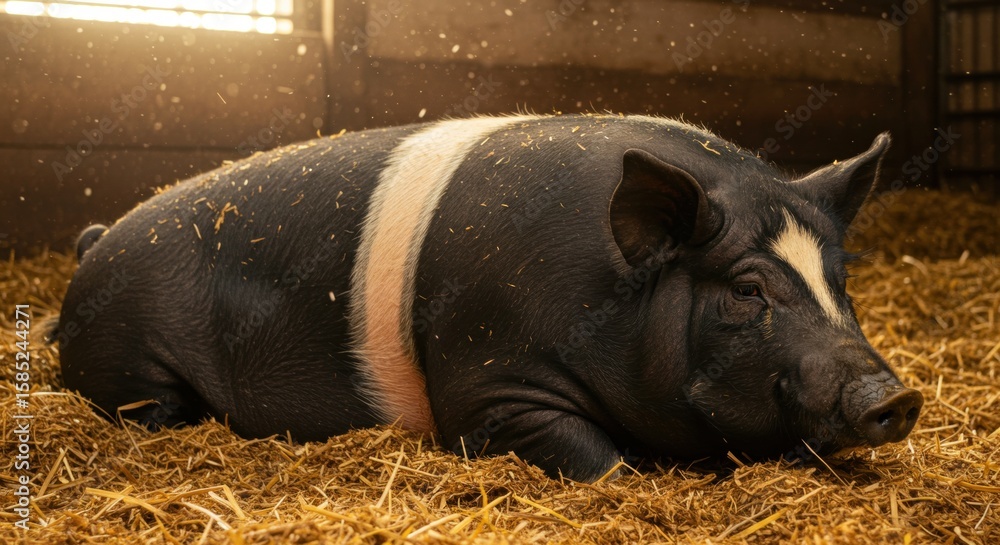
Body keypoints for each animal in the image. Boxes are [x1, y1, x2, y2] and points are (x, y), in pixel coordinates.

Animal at [54, 114, 923, 482]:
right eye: (747, 289)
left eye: (839, 282)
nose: (897, 395)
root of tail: (95, 241)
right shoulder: (491, 385)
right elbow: (601, 463)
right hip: (133, 363)